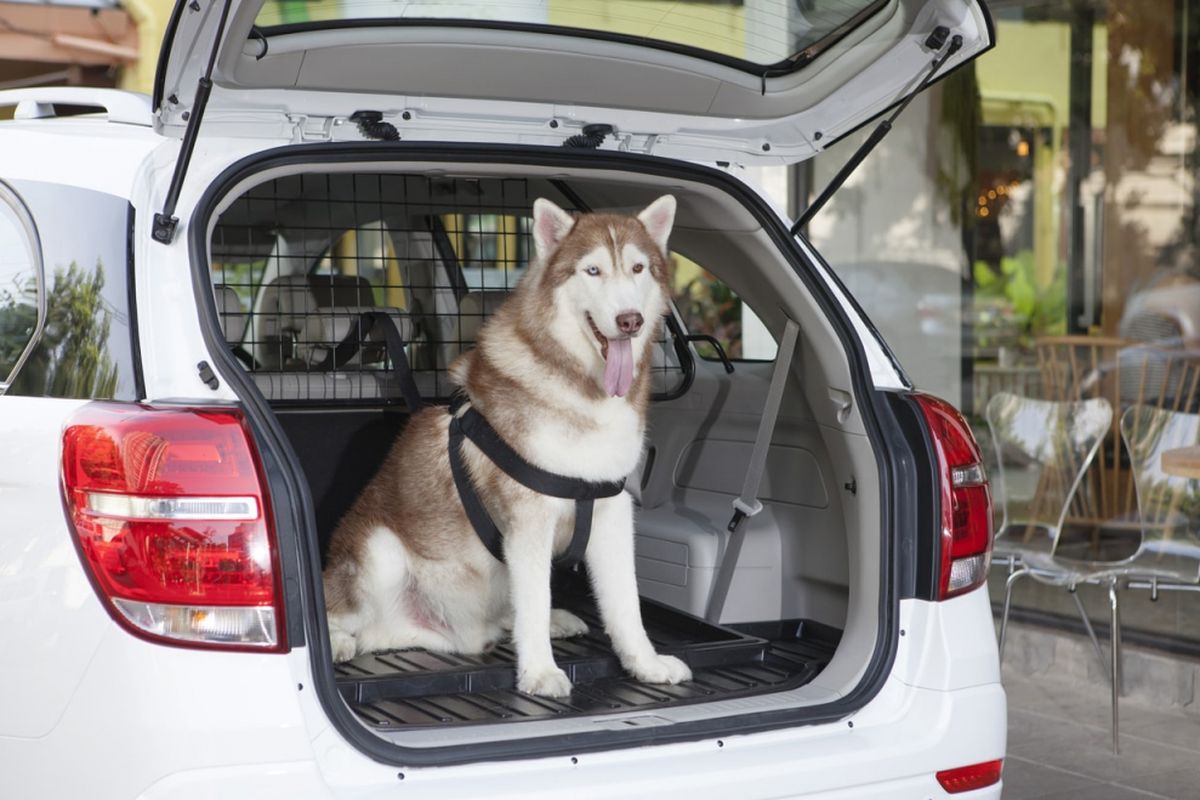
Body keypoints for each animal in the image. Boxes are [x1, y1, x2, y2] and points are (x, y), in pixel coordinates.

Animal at [319, 195, 696, 700]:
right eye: (593, 271)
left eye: (637, 268)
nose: (629, 321)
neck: (585, 391)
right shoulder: (528, 518)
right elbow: (534, 599)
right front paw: (538, 673)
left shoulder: (611, 509)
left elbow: (625, 603)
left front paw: (645, 664)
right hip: (378, 552)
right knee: (338, 612)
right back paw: (339, 640)